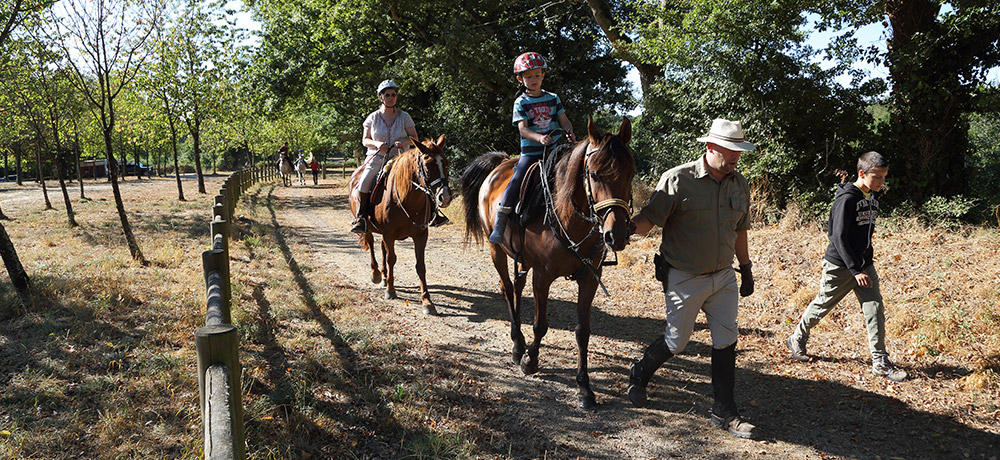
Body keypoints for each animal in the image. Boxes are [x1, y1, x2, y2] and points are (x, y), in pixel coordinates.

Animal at [348, 135, 450, 314]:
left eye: (446, 163)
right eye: (427, 166)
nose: (444, 197)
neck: (406, 198)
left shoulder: (421, 235)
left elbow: (420, 265)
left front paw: (427, 301)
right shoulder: (389, 234)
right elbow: (391, 259)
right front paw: (390, 290)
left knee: (382, 248)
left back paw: (383, 276)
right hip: (368, 228)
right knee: (371, 244)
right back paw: (376, 274)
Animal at [458, 117, 632, 408]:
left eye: (630, 174)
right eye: (594, 174)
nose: (615, 235)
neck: (566, 214)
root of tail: (499, 164)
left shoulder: (589, 278)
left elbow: (583, 331)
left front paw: (584, 388)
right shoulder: (543, 276)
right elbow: (541, 324)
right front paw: (530, 360)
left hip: (520, 258)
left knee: (516, 288)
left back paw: (518, 342)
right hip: (496, 250)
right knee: (507, 288)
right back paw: (519, 345)